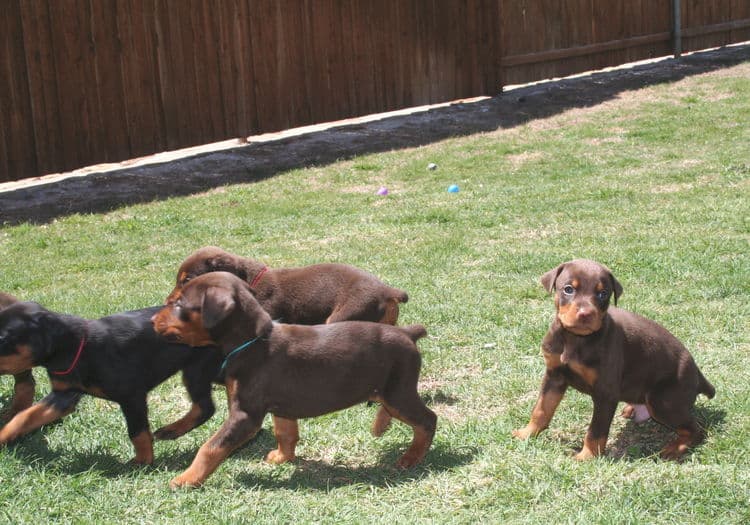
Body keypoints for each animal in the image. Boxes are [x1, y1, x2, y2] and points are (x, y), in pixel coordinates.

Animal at [153, 270, 438, 488]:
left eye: (179, 304)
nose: (153, 319)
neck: (252, 342)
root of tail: (407, 333)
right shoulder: (281, 404)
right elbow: (285, 432)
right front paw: (282, 457)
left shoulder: (245, 414)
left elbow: (210, 447)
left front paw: (186, 479)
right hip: (390, 389)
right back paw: (382, 426)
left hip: (399, 390)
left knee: (427, 419)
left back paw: (411, 457)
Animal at [516, 258, 716, 458]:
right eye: (568, 289)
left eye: (603, 293)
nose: (586, 314)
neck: (576, 339)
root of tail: (698, 374)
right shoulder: (554, 375)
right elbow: (541, 408)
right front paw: (527, 433)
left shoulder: (605, 391)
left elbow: (596, 430)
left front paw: (586, 456)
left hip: (662, 401)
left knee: (696, 429)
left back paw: (674, 449)